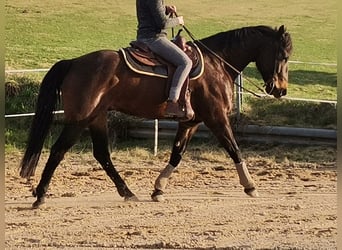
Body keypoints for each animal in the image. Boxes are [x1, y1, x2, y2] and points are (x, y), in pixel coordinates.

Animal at [18, 24, 292, 208]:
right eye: (283, 55)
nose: (280, 89)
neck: (218, 63)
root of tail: (74, 62)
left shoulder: (191, 122)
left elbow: (177, 155)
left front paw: (158, 189)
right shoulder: (216, 118)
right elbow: (234, 149)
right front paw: (250, 186)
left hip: (97, 117)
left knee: (102, 154)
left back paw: (127, 192)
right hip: (80, 120)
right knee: (58, 151)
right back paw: (40, 195)